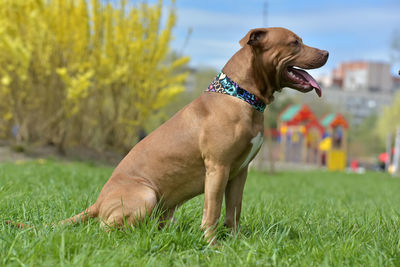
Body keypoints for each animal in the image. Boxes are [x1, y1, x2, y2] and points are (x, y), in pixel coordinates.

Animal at [58, 27, 328, 243]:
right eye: (294, 42)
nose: (326, 53)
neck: (240, 94)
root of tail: (98, 202)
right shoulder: (218, 168)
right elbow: (213, 211)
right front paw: (213, 245)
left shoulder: (239, 172)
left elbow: (234, 211)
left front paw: (237, 242)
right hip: (146, 195)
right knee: (105, 229)